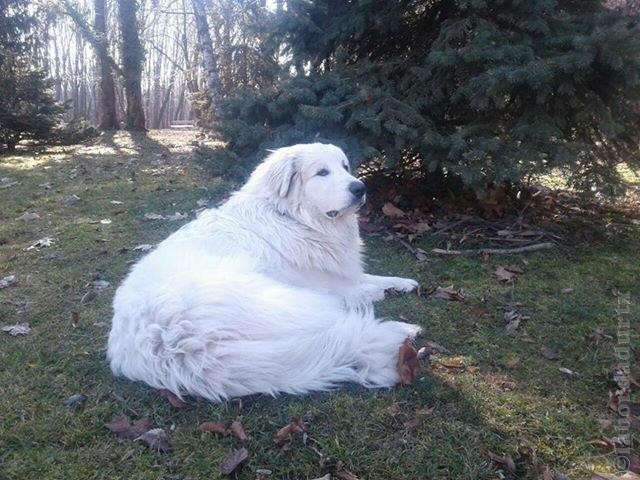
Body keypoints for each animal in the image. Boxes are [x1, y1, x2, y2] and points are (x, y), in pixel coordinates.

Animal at [107, 142, 422, 402]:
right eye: (322, 172)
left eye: (344, 166)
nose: (360, 188)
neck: (291, 218)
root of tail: (175, 346)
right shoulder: (329, 283)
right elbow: (360, 288)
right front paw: (378, 291)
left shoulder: (342, 273)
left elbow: (375, 276)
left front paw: (404, 282)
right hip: (293, 300)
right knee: (345, 320)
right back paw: (404, 328)